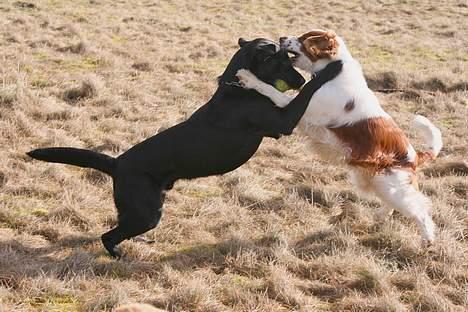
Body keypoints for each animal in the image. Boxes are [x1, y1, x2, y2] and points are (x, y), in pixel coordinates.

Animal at [28, 38, 344, 258]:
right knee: (108, 235)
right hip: (147, 212)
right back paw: (118, 255)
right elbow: (307, 94)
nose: (299, 78)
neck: (235, 88)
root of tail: (118, 163)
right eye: (282, 62)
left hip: (142, 209)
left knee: (119, 227)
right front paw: (331, 70)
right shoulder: (283, 122)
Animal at [238, 29, 442, 244]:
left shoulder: (296, 108)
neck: (333, 72)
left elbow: (271, 90)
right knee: (395, 205)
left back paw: (427, 239)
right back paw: (380, 215)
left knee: (419, 209)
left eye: (303, 39)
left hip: (393, 187)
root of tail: (415, 156)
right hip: (376, 182)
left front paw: (248, 78)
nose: (282, 38)